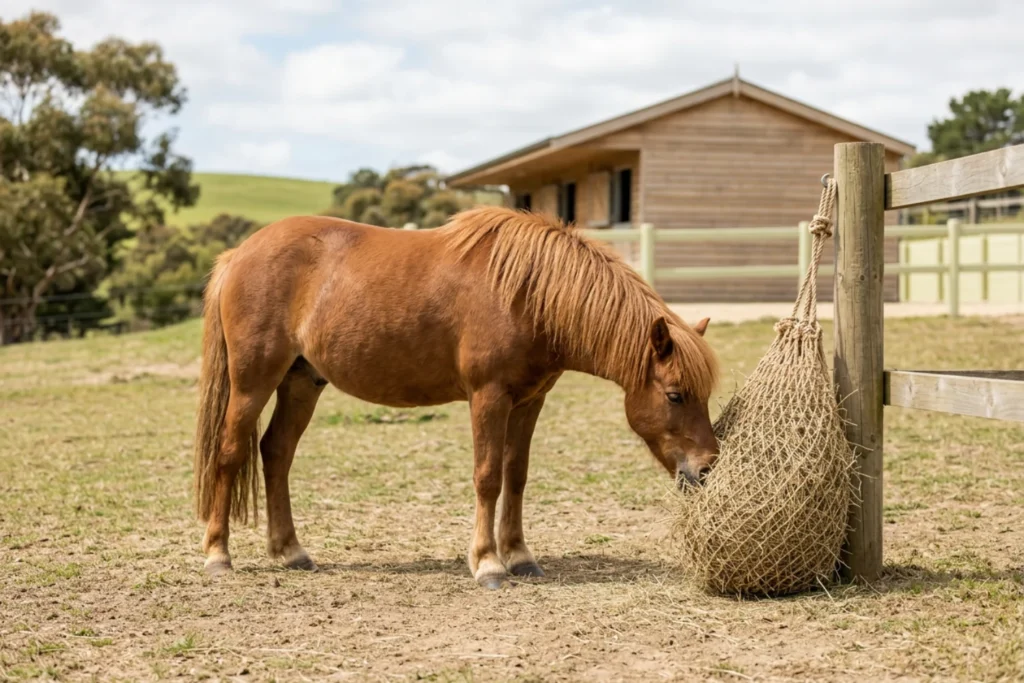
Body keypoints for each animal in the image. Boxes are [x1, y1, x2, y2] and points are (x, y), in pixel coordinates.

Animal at [192, 206, 720, 589]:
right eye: (676, 395)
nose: (707, 468)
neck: (526, 294)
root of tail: (239, 253)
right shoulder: (488, 396)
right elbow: (488, 477)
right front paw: (488, 564)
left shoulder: (529, 402)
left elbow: (516, 476)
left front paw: (520, 556)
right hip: (253, 382)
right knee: (230, 453)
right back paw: (218, 555)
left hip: (302, 382)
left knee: (276, 453)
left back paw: (291, 551)